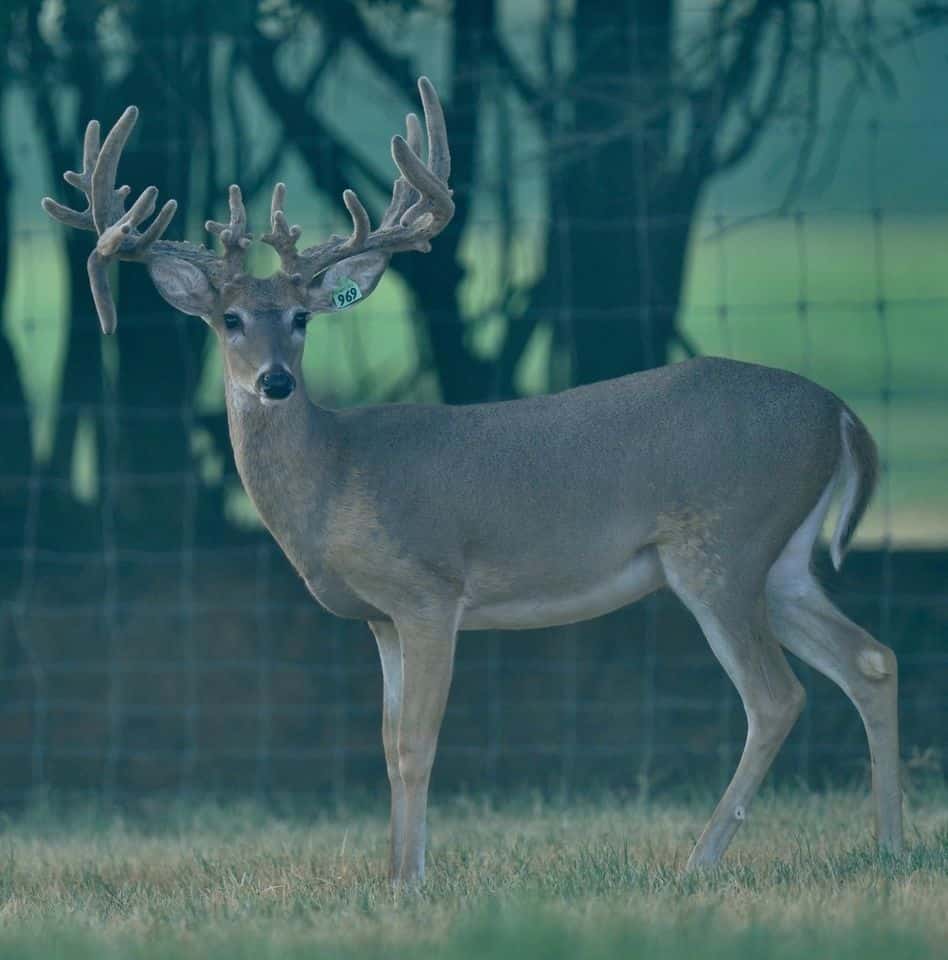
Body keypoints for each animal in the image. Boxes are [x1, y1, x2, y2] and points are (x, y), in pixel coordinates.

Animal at [43, 77, 902, 886]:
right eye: (229, 320)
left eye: (301, 317)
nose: (276, 383)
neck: (334, 478)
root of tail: (841, 414)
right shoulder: (380, 619)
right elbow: (387, 745)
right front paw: (395, 873)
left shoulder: (429, 589)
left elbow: (417, 743)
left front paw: (412, 882)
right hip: (780, 559)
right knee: (871, 659)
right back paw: (891, 845)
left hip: (720, 544)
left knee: (777, 695)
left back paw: (701, 860)